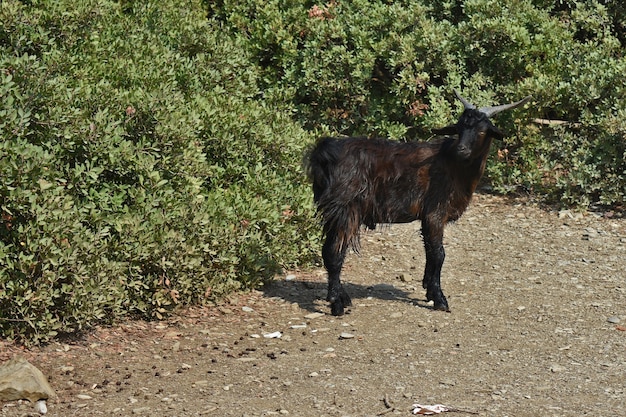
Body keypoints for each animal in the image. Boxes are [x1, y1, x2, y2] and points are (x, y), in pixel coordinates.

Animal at [304, 89, 528, 314]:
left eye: (482, 131)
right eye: (459, 128)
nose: (462, 149)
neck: (453, 164)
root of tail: (323, 151)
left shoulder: (428, 218)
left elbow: (430, 252)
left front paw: (429, 289)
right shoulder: (435, 213)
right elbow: (439, 254)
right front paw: (439, 299)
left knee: (330, 250)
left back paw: (342, 297)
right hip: (344, 209)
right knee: (334, 253)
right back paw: (337, 304)